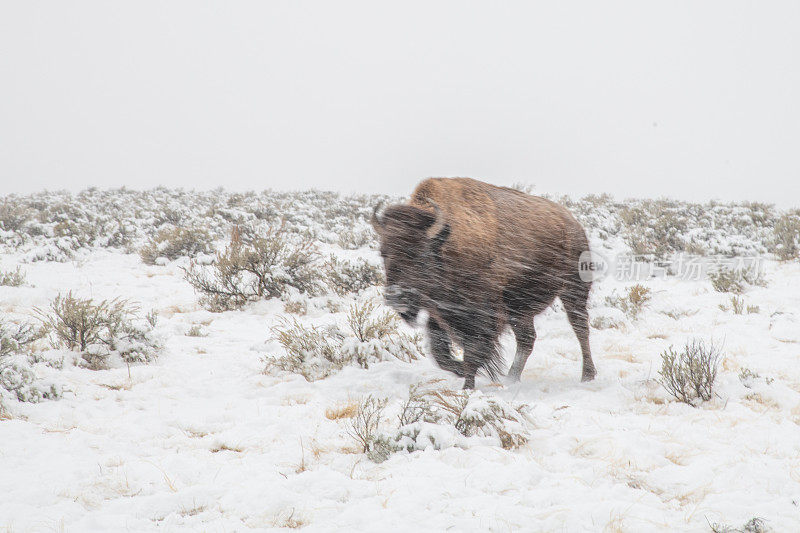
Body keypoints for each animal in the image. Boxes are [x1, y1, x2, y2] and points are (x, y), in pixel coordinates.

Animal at [372, 177, 596, 388]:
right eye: (383, 253)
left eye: (420, 254)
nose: (394, 296)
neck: (445, 243)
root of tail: (574, 224)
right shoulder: (440, 313)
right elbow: (440, 354)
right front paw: (461, 371)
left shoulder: (480, 314)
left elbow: (473, 352)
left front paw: (467, 387)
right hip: (519, 309)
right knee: (527, 339)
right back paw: (511, 379)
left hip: (574, 289)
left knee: (580, 328)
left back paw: (587, 376)